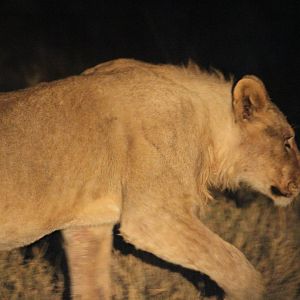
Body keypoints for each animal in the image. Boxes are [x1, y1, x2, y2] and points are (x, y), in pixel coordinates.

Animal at [0, 59, 298, 300]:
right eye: (287, 142)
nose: (298, 182)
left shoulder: (87, 226)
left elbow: (91, 288)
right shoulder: (152, 216)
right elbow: (235, 265)